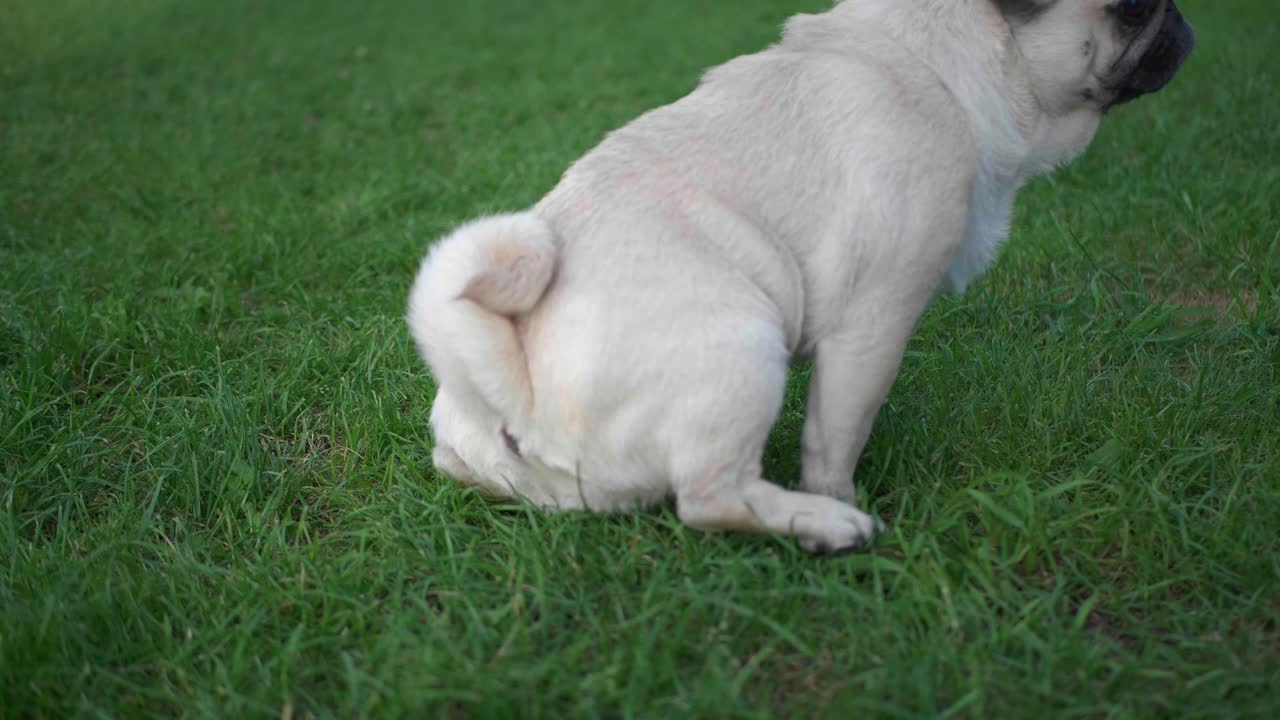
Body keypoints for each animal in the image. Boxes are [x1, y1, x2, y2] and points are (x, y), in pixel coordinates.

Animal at [404, 0, 1192, 550]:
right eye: (1130, 7)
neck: (938, 60)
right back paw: (826, 525)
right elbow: (836, 433)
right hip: (743, 346)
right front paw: (842, 496)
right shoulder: (874, 320)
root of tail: (511, 396)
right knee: (709, 499)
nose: (1183, 23)